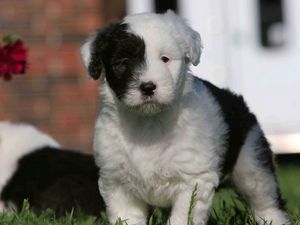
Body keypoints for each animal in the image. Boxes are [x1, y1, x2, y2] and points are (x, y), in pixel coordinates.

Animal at [81, 9, 290, 224]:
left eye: (165, 59)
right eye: (123, 62)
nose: (148, 87)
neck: (149, 122)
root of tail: (238, 101)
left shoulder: (193, 181)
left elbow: (183, 216)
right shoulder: (117, 182)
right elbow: (127, 216)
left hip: (251, 161)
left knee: (265, 201)